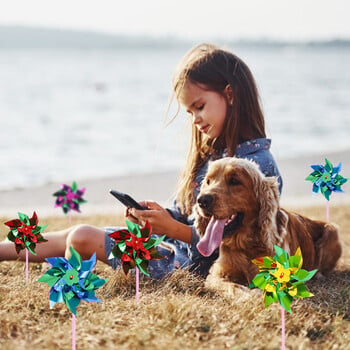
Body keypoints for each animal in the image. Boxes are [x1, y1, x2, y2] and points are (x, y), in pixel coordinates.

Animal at [193, 157, 340, 286]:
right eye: (208, 181)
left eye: (234, 181)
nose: (202, 200)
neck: (244, 245)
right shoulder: (217, 275)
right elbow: (233, 287)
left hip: (331, 230)